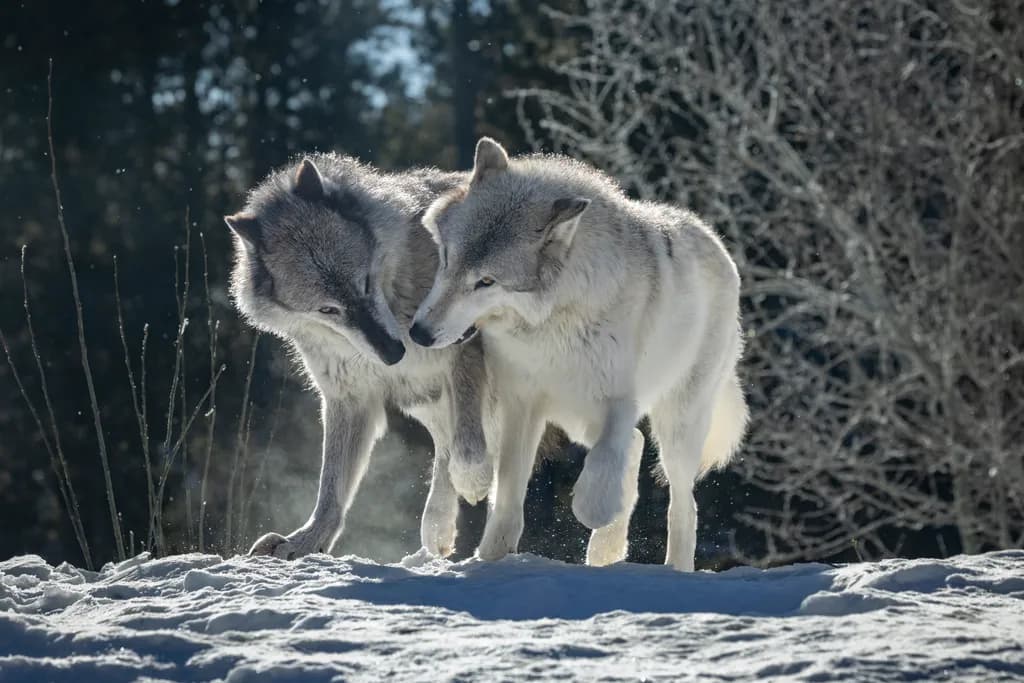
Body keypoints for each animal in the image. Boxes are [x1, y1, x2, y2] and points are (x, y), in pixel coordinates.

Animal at [226, 154, 494, 560]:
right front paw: (305, 543)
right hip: (422, 401)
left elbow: (466, 437)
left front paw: (473, 478)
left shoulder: (465, 347)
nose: (394, 352)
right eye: (328, 309)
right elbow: (331, 489)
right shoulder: (349, 399)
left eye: (365, 282)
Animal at [410, 138, 749, 570]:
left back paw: (671, 566)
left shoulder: (621, 400)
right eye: (447, 259)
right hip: (580, 420)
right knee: (636, 444)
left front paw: (594, 509)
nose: (418, 333)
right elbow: (508, 494)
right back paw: (607, 552)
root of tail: (716, 243)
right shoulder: (519, 404)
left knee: (681, 503)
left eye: (486, 281)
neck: (552, 323)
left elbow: (599, 479)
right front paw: (491, 558)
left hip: (676, 424)